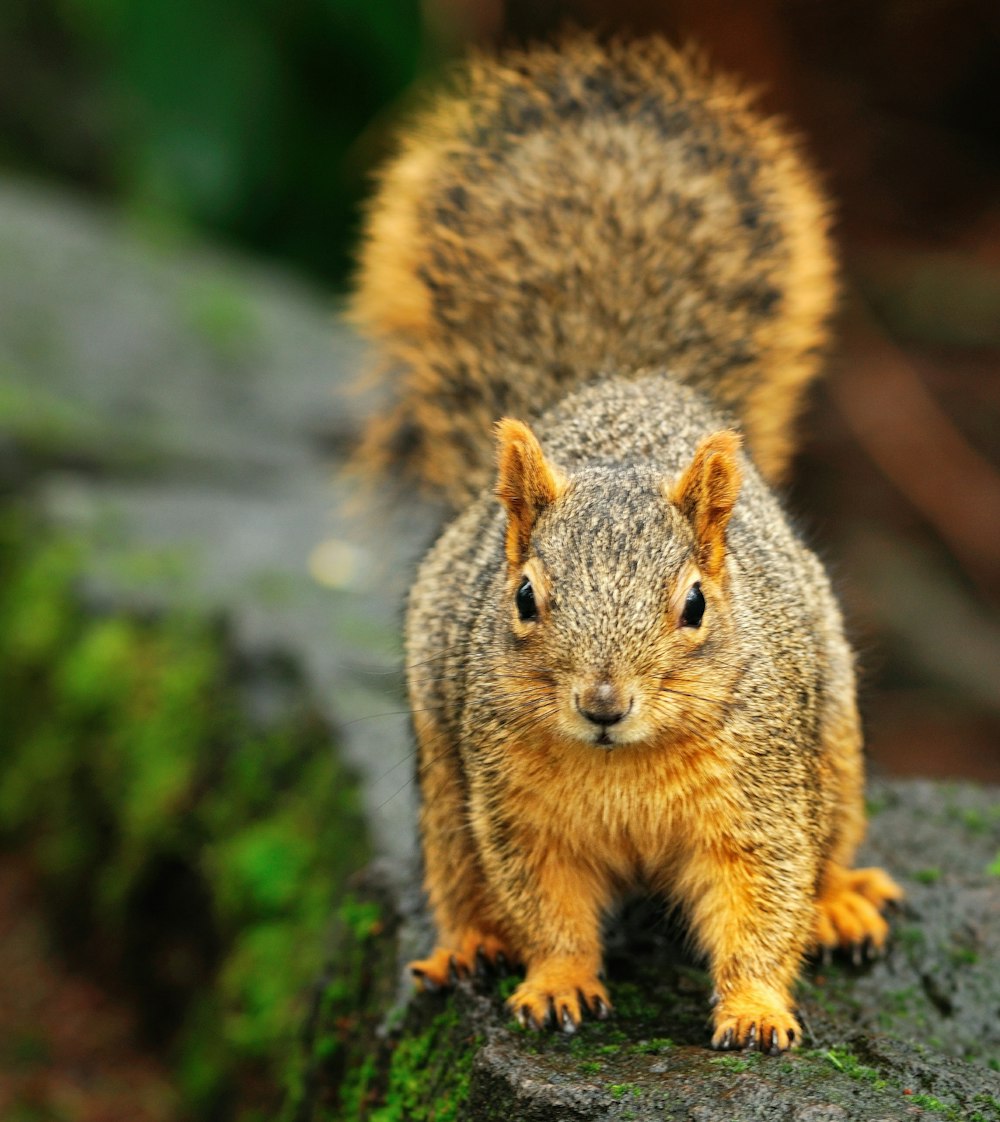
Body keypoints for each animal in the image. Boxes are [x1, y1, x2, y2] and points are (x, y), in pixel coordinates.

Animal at [354, 32, 906, 1050]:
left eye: (694, 604)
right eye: (524, 598)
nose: (603, 703)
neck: (625, 763)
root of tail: (629, 378)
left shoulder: (763, 800)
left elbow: (763, 903)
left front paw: (757, 1010)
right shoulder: (514, 811)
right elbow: (547, 908)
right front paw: (558, 985)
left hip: (837, 745)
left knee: (829, 844)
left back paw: (842, 903)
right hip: (443, 779)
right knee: (455, 871)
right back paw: (466, 946)